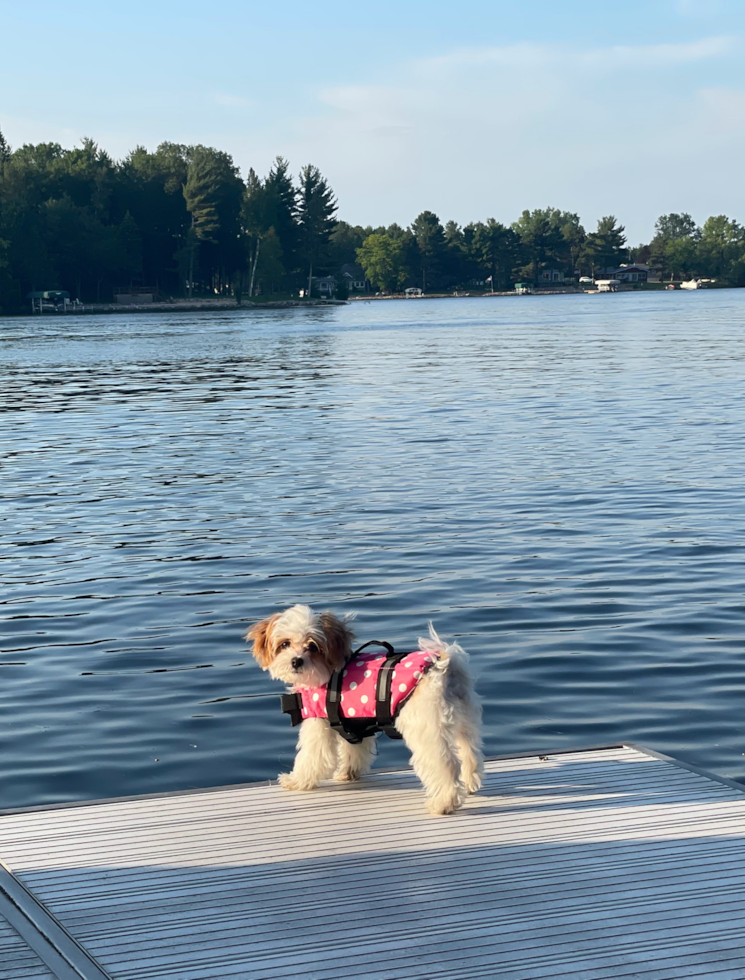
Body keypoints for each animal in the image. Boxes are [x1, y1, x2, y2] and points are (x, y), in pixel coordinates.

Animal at [246, 600, 482, 816]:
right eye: (284, 644)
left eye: (313, 646)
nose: (296, 661)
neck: (327, 675)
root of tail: (443, 667)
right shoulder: (354, 725)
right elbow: (354, 751)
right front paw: (347, 773)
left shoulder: (319, 724)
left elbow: (312, 757)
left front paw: (295, 781)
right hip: (464, 721)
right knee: (468, 751)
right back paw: (470, 782)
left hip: (427, 729)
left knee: (446, 765)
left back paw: (443, 803)